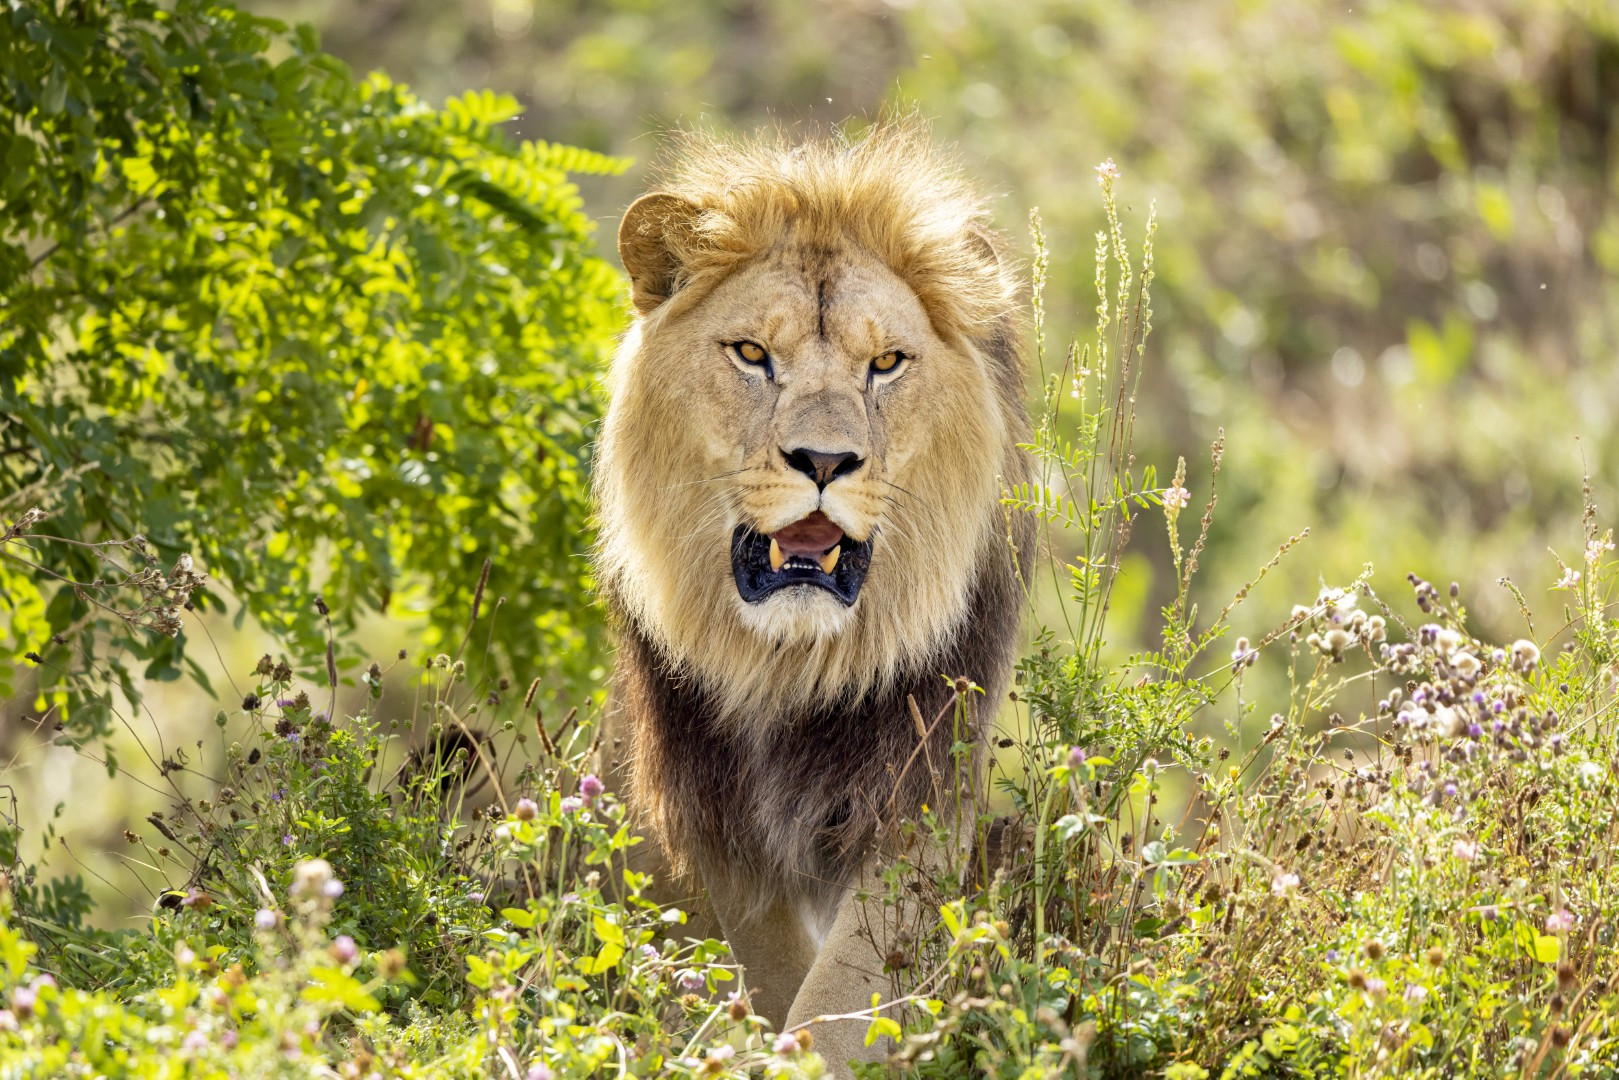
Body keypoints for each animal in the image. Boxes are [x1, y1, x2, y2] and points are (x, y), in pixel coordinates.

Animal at [593, 121, 1033, 1072]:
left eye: (886, 363)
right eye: (753, 354)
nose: (825, 461)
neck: (789, 662)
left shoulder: (917, 791)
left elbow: (843, 993)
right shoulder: (714, 805)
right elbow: (769, 966)